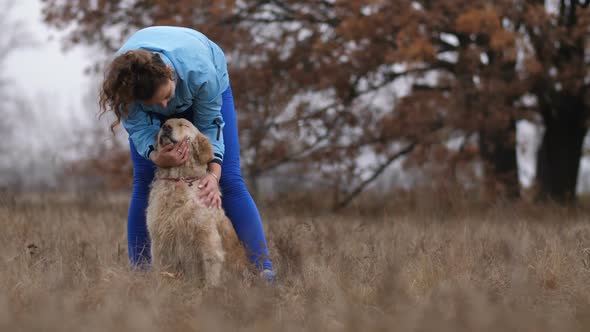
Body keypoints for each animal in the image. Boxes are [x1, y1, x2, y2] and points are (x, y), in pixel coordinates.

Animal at [149, 118, 251, 286]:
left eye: (183, 125)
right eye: (164, 123)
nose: (166, 127)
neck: (179, 179)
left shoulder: (207, 237)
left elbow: (211, 268)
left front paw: (210, 290)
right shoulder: (159, 239)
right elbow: (160, 268)